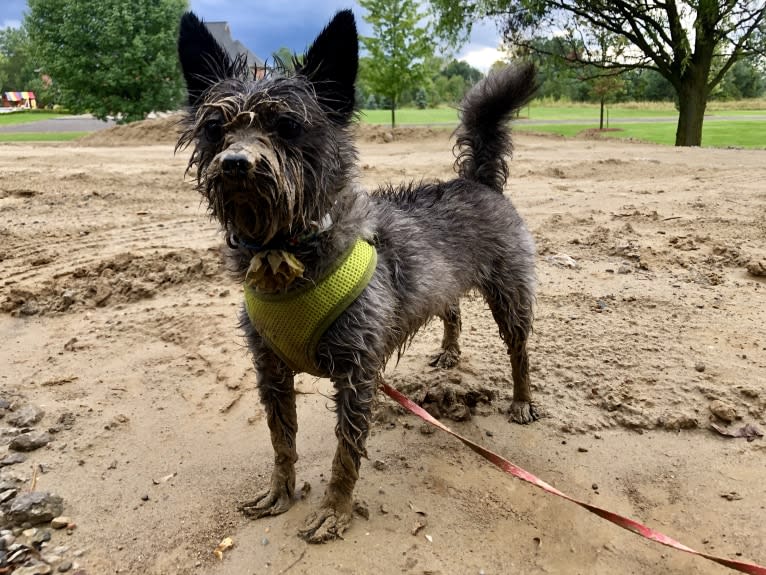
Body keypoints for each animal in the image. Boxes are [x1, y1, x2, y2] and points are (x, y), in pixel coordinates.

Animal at [180, 10, 540, 544]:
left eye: (288, 126)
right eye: (214, 127)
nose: (236, 163)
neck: (286, 255)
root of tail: (477, 179)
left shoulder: (356, 372)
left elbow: (345, 453)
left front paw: (335, 509)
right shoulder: (271, 370)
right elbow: (281, 440)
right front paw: (280, 491)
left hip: (510, 294)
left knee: (519, 350)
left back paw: (521, 400)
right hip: (445, 285)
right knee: (451, 309)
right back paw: (449, 353)